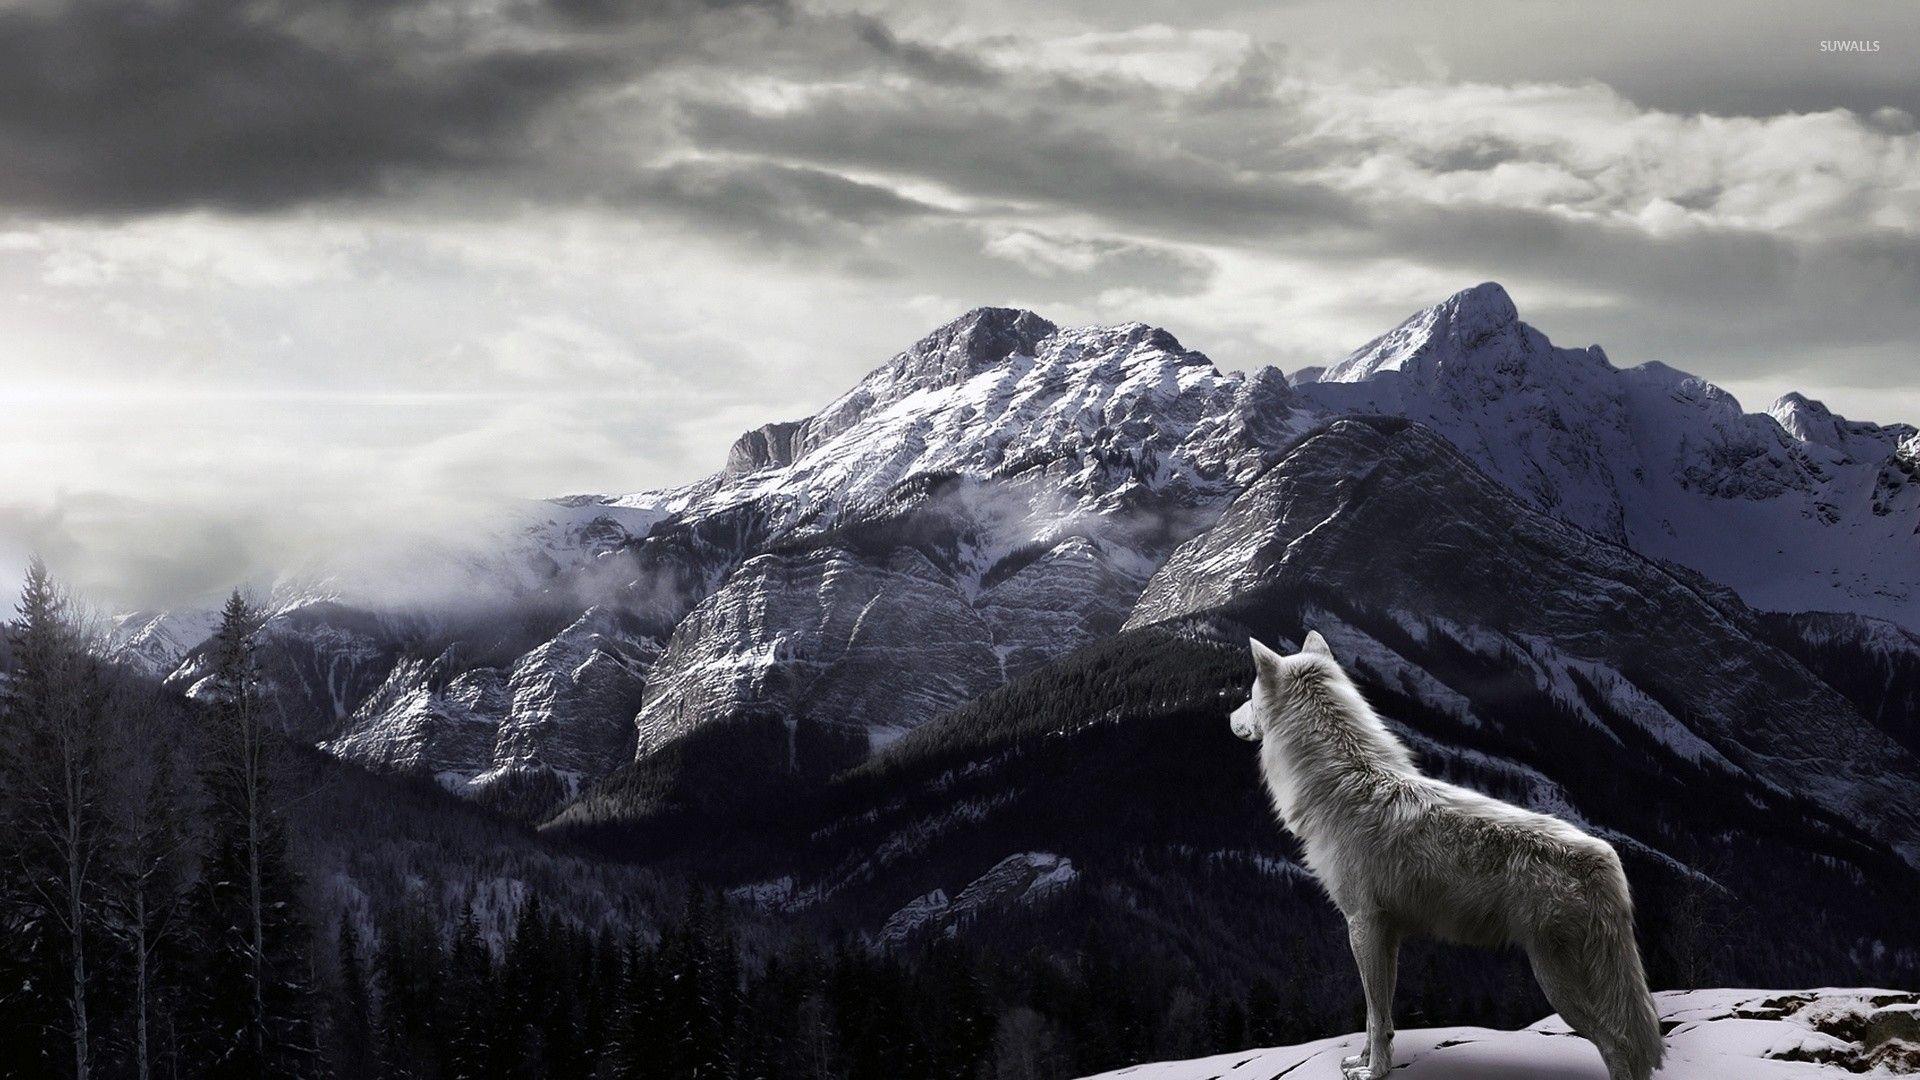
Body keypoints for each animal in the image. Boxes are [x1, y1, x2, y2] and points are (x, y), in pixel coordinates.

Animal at [1230, 632, 1664, 1080]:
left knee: (1620, 1045)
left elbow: (1375, 1014)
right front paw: (1364, 1060)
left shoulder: (1362, 925)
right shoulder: (1385, 934)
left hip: (1559, 984)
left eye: (1248, 696)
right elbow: (1377, 1016)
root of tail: (1604, 857)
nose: (1229, 717)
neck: (1343, 784)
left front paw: (1374, 1071)